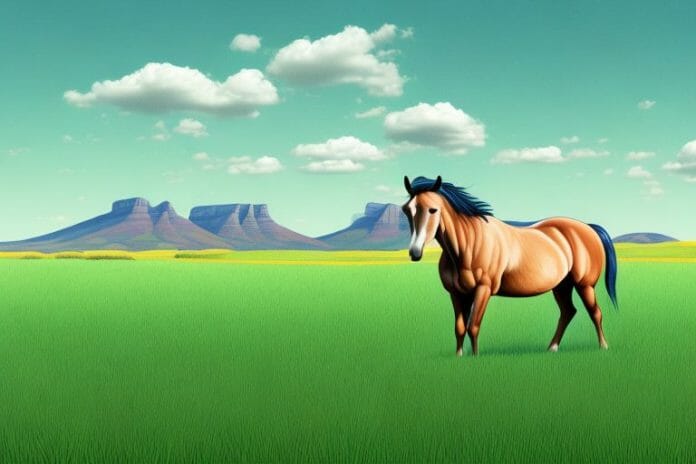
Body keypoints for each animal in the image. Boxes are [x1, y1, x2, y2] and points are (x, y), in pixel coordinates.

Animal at [402, 175, 618, 356]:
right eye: (407, 210)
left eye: (433, 209)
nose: (415, 252)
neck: (469, 245)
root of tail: (588, 227)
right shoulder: (457, 293)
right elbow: (460, 328)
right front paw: (459, 357)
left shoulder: (483, 289)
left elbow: (473, 326)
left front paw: (475, 358)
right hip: (562, 286)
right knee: (568, 312)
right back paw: (552, 347)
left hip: (584, 285)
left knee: (595, 313)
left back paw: (603, 346)